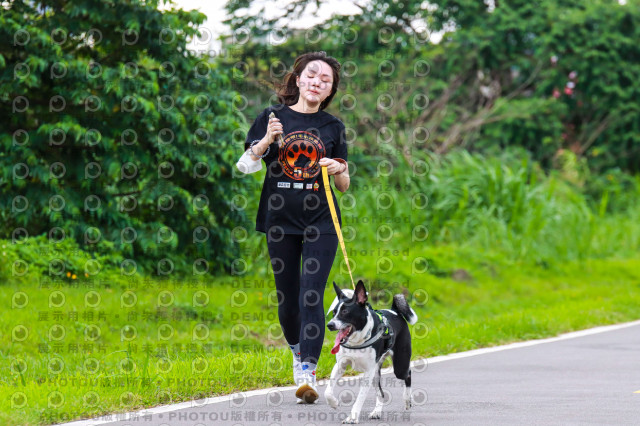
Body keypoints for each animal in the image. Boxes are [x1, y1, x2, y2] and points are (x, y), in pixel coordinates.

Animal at [325, 280, 418, 423]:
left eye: (345, 311)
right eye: (334, 312)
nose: (329, 325)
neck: (357, 341)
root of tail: (394, 311)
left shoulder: (368, 372)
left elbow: (360, 398)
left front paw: (352, 417)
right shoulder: (340, 365)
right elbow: (327, 391)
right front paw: (333, 403)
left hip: (399, 367)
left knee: (407, 374)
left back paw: (408, 400)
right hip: (376, 373)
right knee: (381, 393)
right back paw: (376, 412)